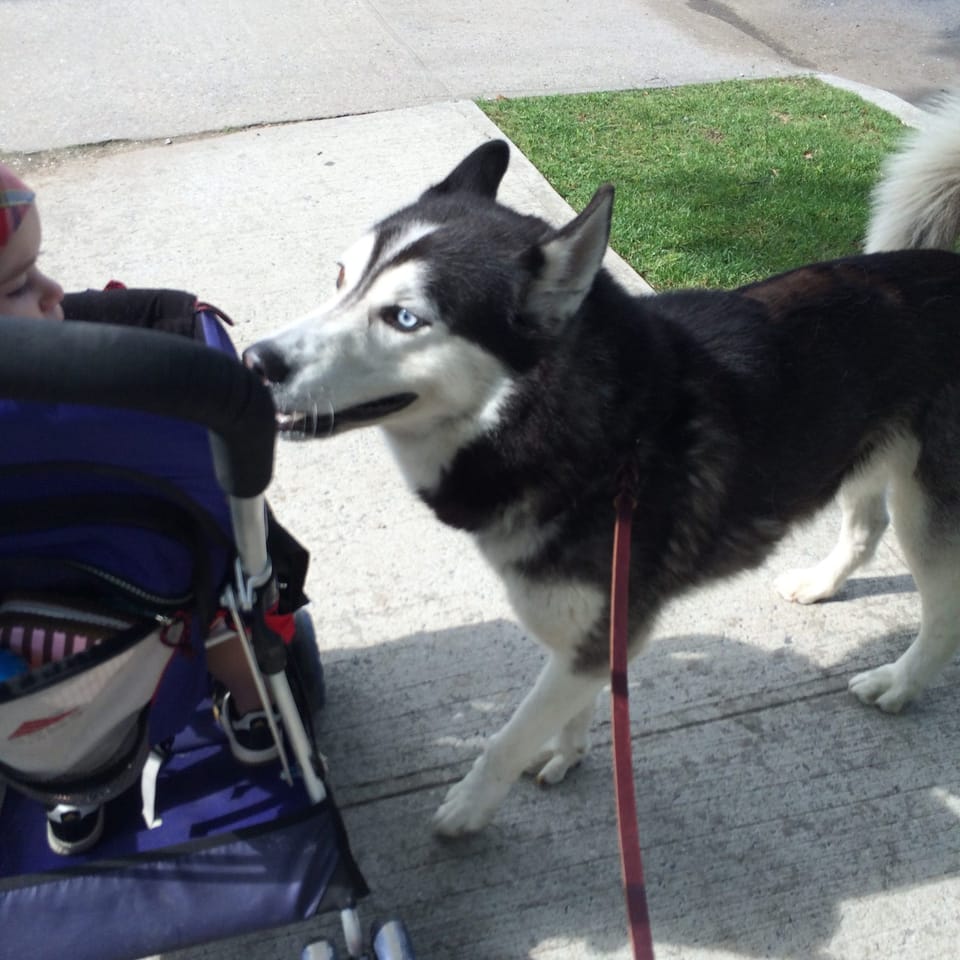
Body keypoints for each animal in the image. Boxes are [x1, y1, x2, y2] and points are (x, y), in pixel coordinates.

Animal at [244, 94, 960, 836]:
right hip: (865, 454)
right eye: (340, 278)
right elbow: (569, 706)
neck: (593, 433)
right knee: (866, 527)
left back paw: (901, 681)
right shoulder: (589, 630)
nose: (256, 360)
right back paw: (822, 583)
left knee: (945, 613)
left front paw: (469, 808)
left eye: (405, 318)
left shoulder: (609, 624)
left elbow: (507, 738)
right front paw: (568, 750)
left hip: (929, 505)